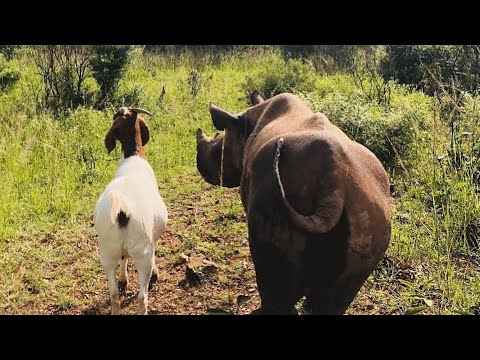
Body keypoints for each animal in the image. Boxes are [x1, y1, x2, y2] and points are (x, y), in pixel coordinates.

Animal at [94, 107, 169, 316]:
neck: (133, 156)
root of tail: (122, 208)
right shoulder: (152, 238)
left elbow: (123, 260)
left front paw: (123, 279)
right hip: (143, 253)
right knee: (142, 296)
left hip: (107, 252)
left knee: (113, 294)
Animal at [195, 91, 390, 314]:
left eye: (216, 149)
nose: (200, 166)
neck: (246, 123)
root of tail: (335, 178)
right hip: (370, 211)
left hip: (272, 197)